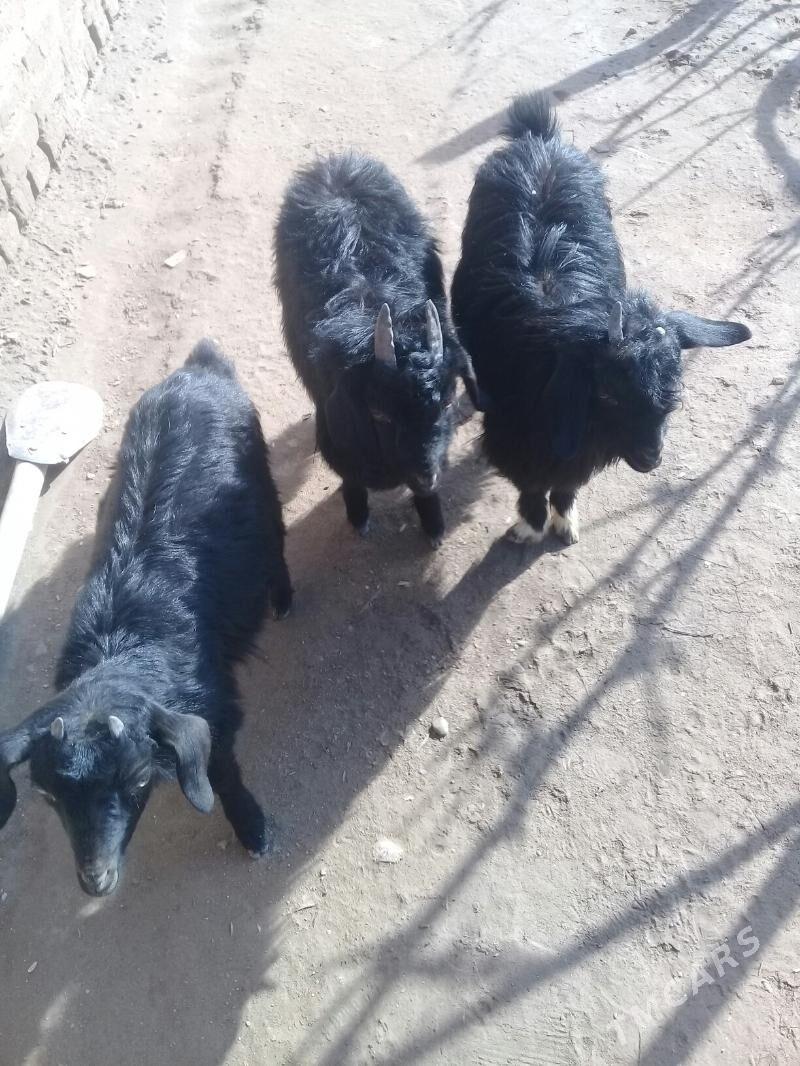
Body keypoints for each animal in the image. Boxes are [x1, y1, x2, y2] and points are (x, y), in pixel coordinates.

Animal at [0, 340, 292, 894]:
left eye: (137, 779)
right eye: (48, 797)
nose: (96, 881)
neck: (123, 646)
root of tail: (198, 367)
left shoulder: (214, 710)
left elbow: (223, 772)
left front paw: (254, 830)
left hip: (262, 472)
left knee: (276, 534)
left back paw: (283, 597)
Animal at [274, 152, 481, 547]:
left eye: (448, 401)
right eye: (379, 414)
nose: (426, 476)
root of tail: (335, 163)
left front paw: (433, 523)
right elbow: (349, 474)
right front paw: (358, 514)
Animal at [451, 92, 751, 545]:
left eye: (676, 384)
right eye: (607, 391)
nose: (650, 457)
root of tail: (539, 139)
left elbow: (568, 479)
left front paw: (563, 519)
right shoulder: (516, 434)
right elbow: (531, 481)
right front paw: (530, 525)